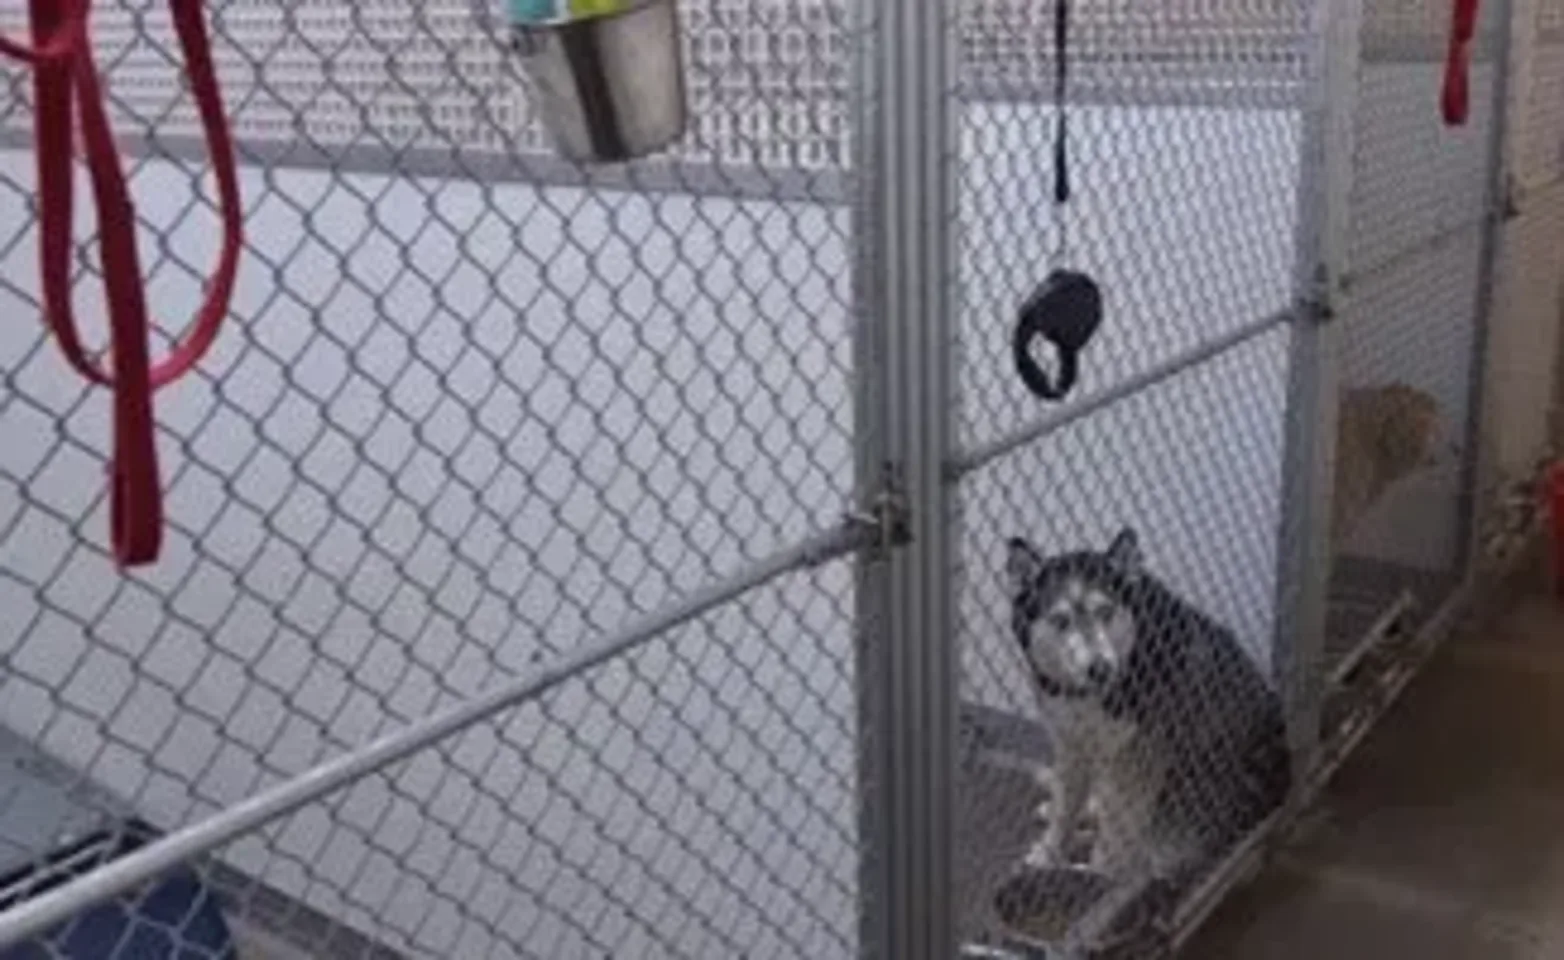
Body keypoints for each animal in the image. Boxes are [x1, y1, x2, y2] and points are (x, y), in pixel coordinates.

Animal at [1007, 531, 1288, 894]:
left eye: (1105, 611)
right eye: (1061, 620)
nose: (1100, 668)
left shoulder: (1134, 763)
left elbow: (1116, 836)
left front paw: (1097, 879)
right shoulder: (1071, 741)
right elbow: (1065, 809)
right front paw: (1049, 853)